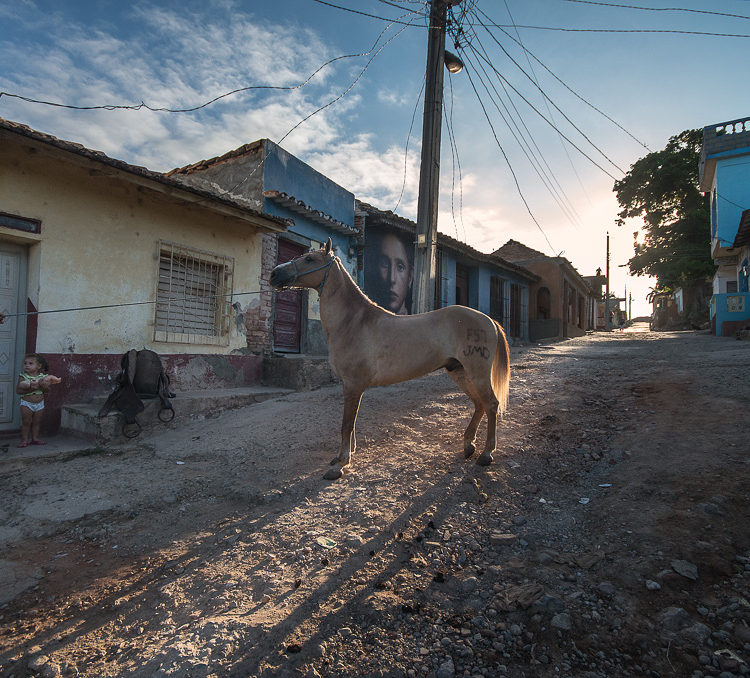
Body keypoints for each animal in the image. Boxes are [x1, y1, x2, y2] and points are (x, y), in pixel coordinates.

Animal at [270, 239, 512, 484]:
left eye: (310, 259)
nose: (274, 274)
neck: (354, 323)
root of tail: (489, 320)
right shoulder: (351, 386)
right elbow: (352, 423)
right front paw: (345, 455)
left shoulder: (353, 384)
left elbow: (346, 424)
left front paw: (341, 463)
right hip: (459, 371)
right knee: (479, 404)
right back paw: (468, 446)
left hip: (477, 373)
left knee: (491, 405)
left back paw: (486, 454)